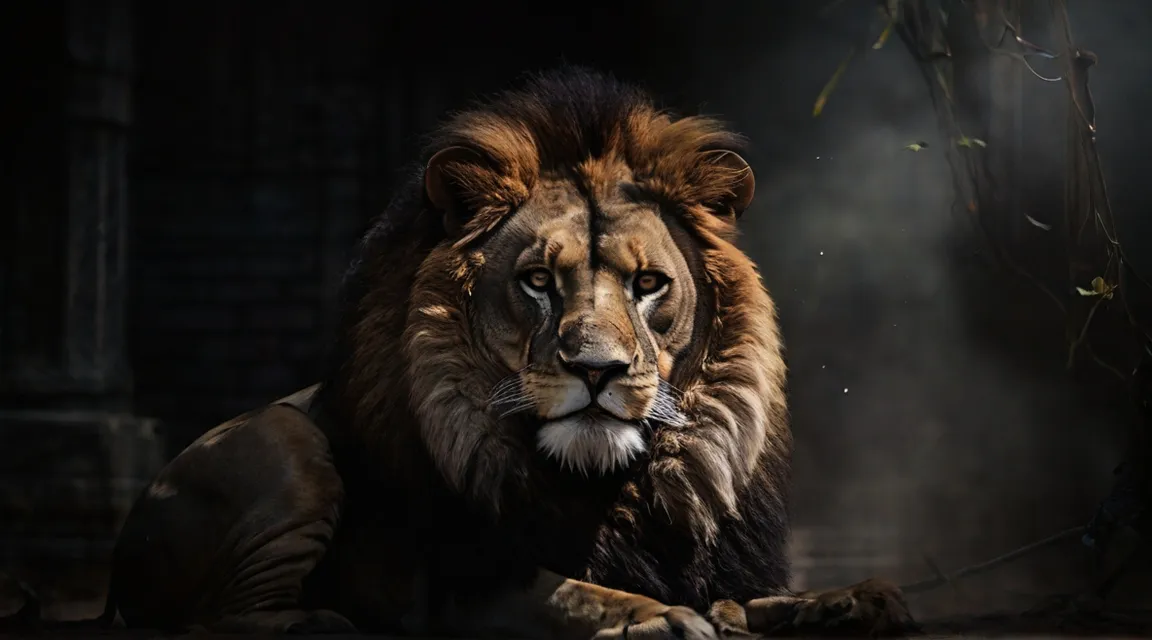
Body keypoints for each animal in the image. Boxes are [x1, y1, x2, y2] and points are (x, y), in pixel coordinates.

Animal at [4, 67, 912, 635]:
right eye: (538, 281)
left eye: (651, 284)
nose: (597, 371)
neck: (608, 487)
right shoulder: (452, 588)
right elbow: (570, 593)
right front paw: (655, 618)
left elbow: (755, 600)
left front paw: (850, 599)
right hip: (285, 439)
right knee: (206, 620)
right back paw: (318, 621)